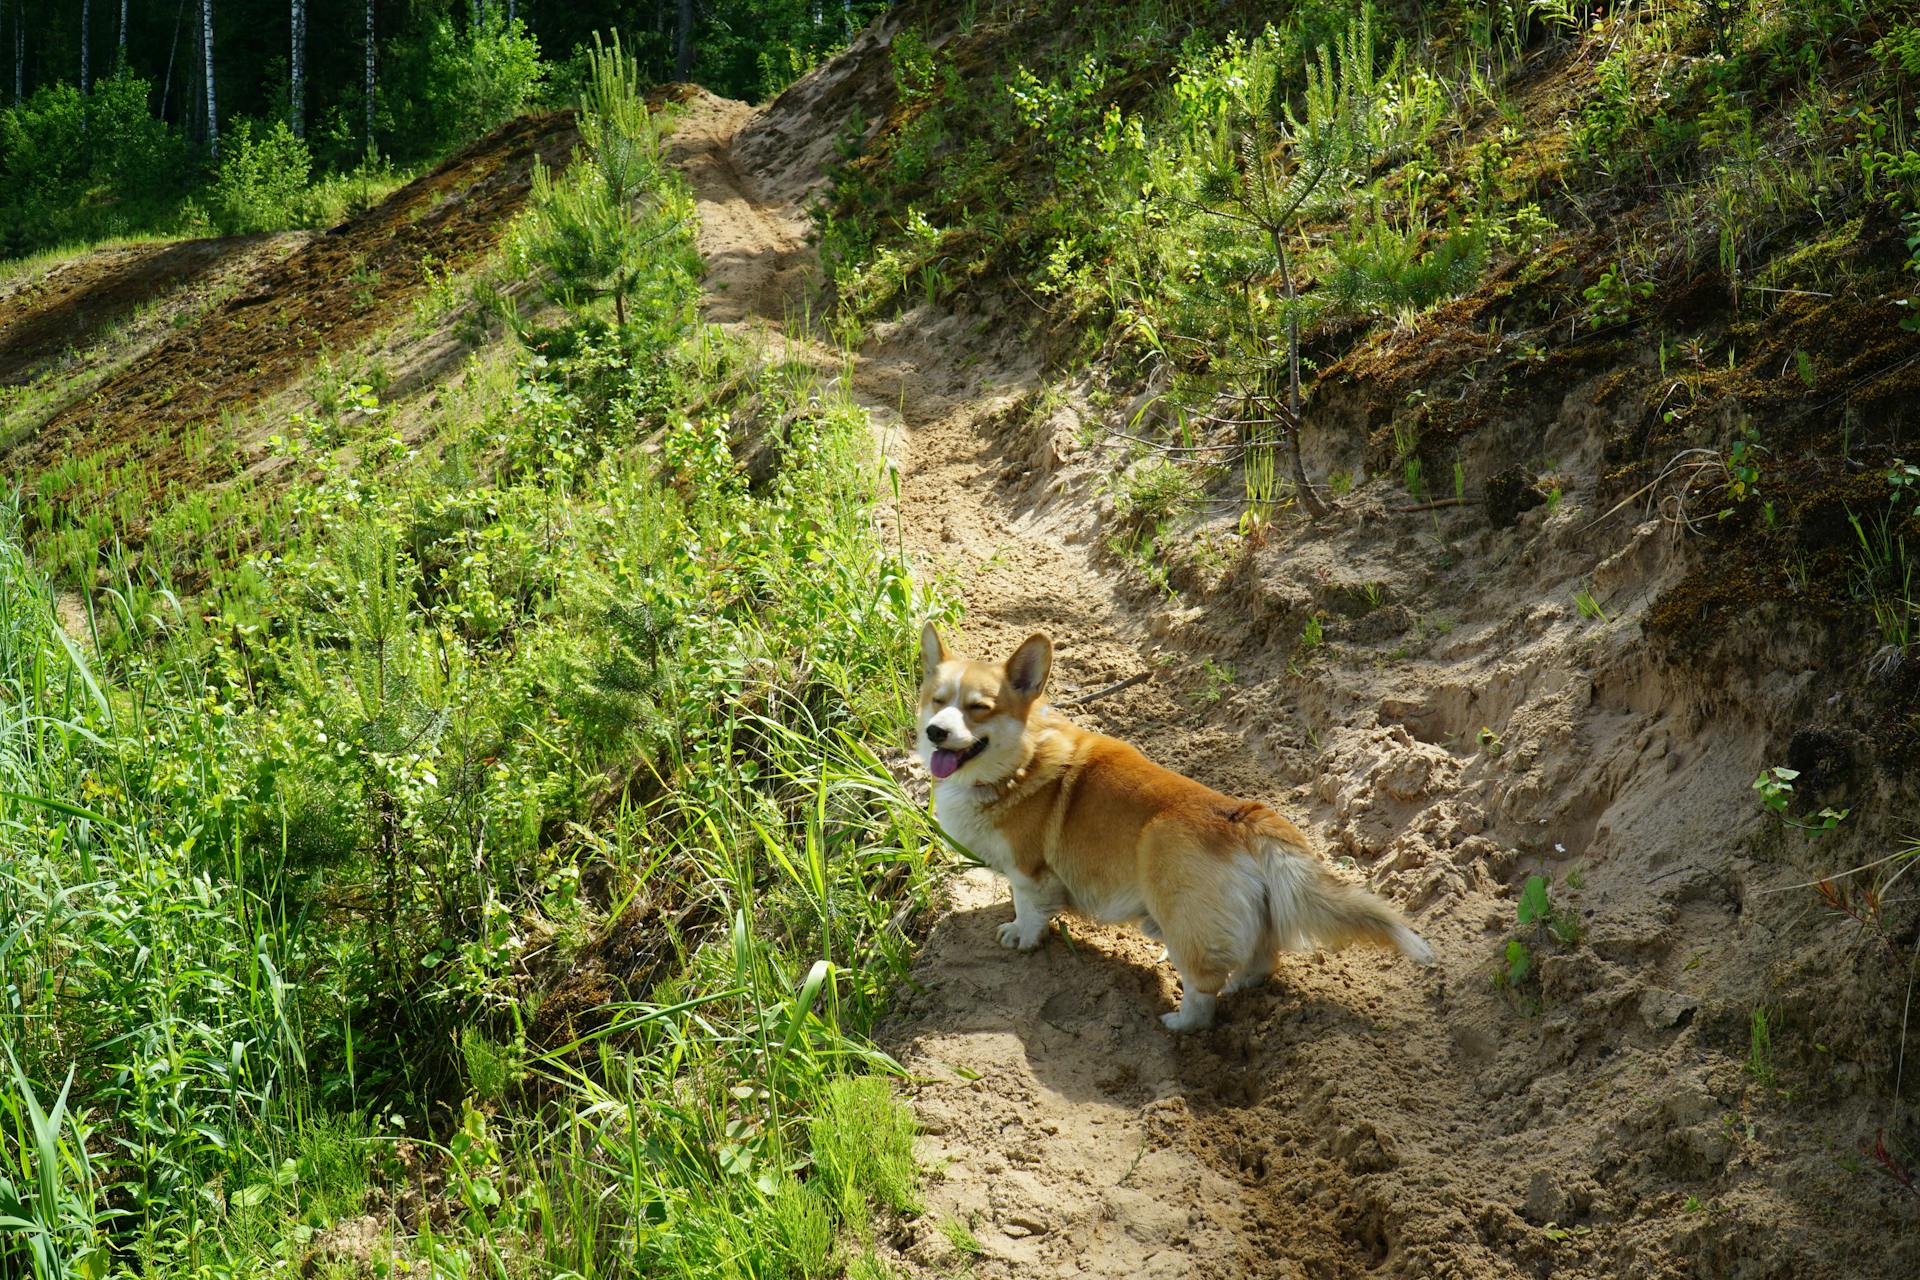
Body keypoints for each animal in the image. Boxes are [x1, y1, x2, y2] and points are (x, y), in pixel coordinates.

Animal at [917, 621, 1443, 1028]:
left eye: (979, 708)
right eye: (937, 700)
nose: (935, 732)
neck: (1019, 763)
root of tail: (1243, 817)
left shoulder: (1030, 871)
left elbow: (1027, 910)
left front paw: (1019, 937)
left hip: (1181, 913)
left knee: (1200, 992)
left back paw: (1177, 1023)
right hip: (1255, 919)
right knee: (1260, 961)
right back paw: (1240, 988)